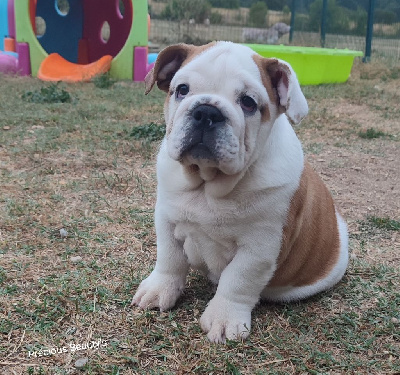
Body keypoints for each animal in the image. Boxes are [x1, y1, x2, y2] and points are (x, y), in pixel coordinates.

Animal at [133, 41, 348, 344]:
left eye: (248, 102)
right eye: (182, 89)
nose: (207, 111)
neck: (208, 183)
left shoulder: (259, 246)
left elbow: (238, 280)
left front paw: (224, 319)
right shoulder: (166, 220)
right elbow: (169, 258)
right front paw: (159, 290)